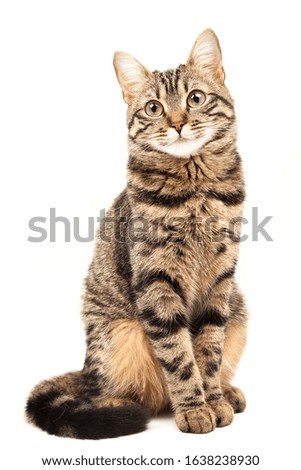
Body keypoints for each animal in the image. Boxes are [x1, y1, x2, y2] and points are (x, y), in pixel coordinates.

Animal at [25, 29, 246, 438]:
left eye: (195, 98)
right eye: (154, 108)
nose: (177, 122)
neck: (196, 188)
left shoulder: (220, 278)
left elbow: (209, 351)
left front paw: (213, 400)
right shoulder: (157, 280)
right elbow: (179, 355)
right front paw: (194, 408)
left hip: (239, 311)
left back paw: (228, 391)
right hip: (117, 334)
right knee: (103, 389)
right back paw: (119, 405)